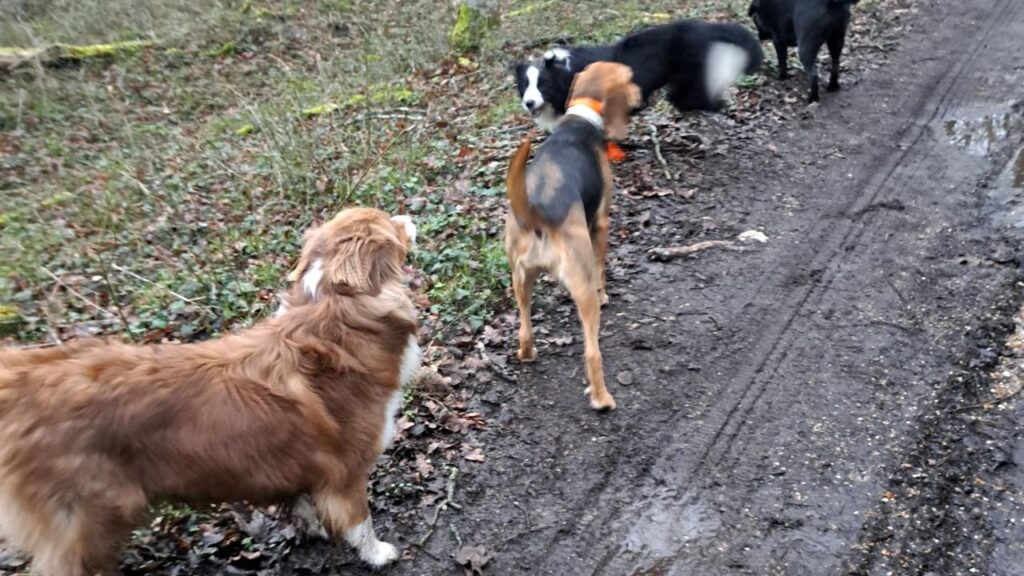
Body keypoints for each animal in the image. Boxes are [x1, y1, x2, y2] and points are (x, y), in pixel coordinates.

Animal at [0, 204, 419, 569]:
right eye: (390, 223)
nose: (410, 216)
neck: (339, 316)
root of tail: (22, 379)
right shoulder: (347, 473)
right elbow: (360, 522)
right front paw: (378, 554)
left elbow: (304, 503)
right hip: (89, 524)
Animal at [503, 62, 638, 409]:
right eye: (628, 78)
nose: (640, 93)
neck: (580, 118)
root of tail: (536, 211)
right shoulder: (600, 224)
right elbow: (603, 268)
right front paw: (606, 294)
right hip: (582, 288)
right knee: (592, 353)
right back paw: (602, 399)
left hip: (520, 280)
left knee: (524, 328)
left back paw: (526, 354)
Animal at [512, 18, 761, 127]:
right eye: (525, 86)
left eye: (543, 85)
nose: (528, 103)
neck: (565, 76)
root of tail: (704, 25)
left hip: (689, 77)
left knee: (693, 97)